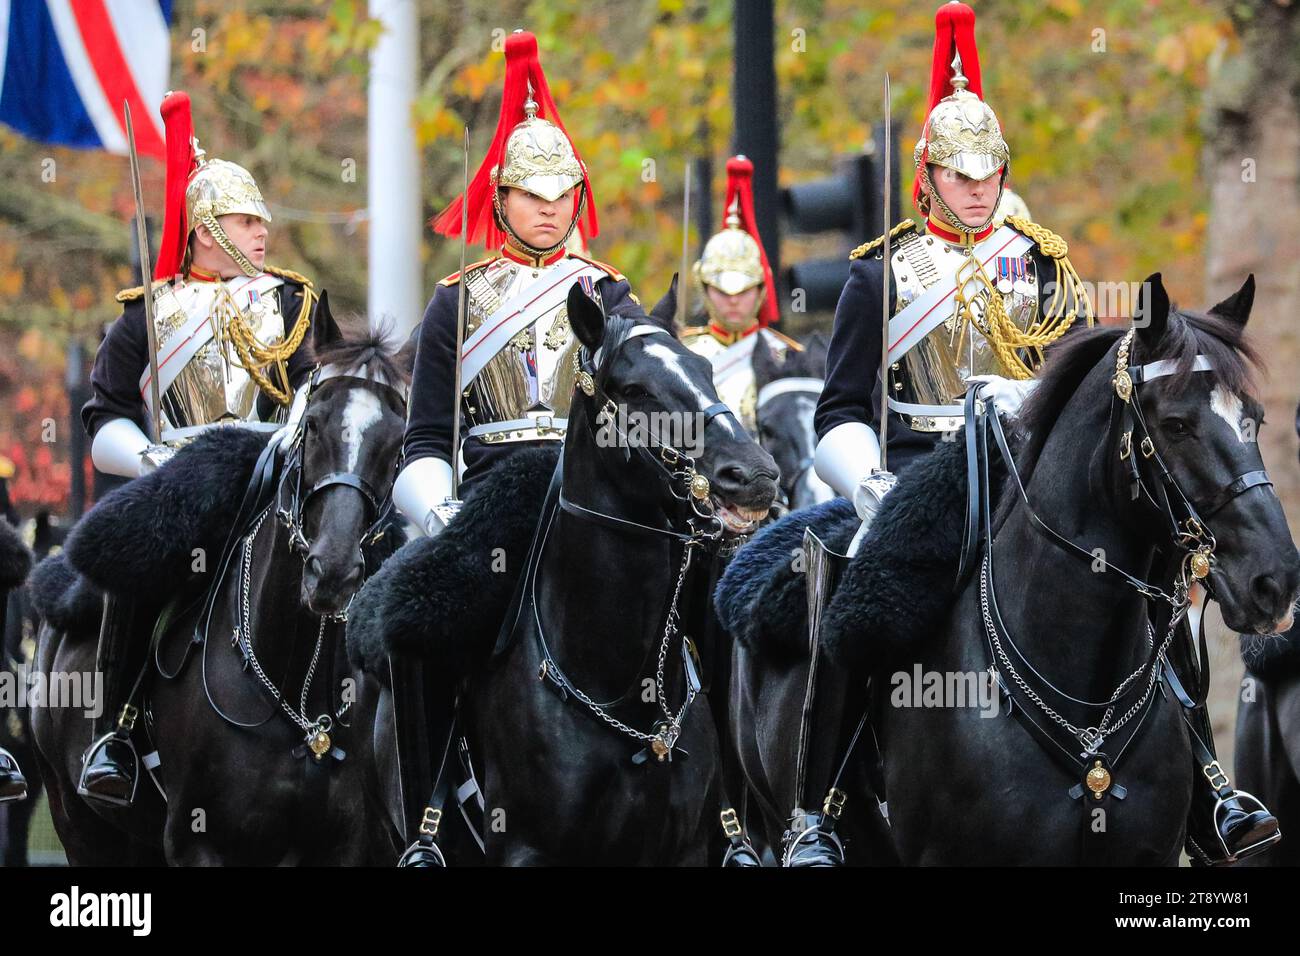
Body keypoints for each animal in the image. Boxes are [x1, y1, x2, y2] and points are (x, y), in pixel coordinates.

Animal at [32, 314, 405, 868]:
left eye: (396, 441)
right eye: (313, 424)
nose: (332, 572)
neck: (290, 686)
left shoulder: (346, 844)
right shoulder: (197, 843)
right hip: (78, 823)